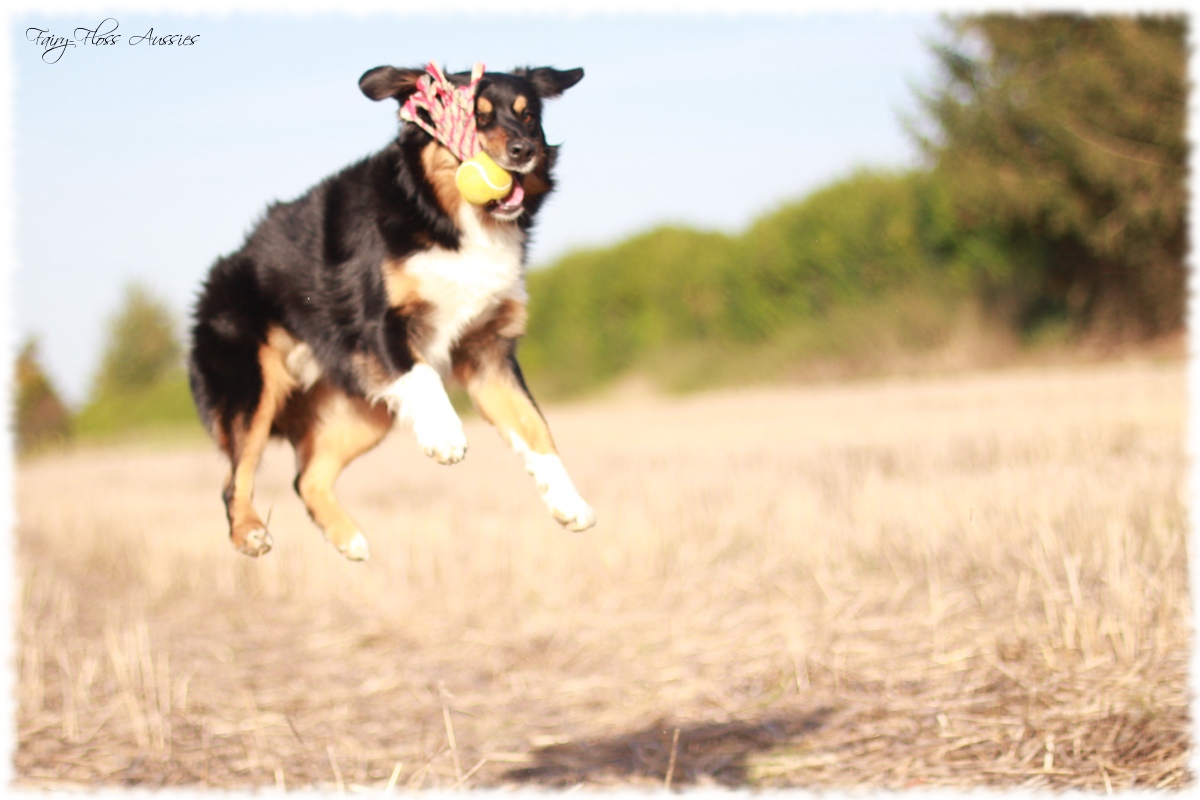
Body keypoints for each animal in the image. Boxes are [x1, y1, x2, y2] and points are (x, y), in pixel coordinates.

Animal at [187, 64, 595, 563]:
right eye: (472, 117)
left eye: (529, 115)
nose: (524, 150)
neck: (445, 215)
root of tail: (218, 274)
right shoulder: (374, 324)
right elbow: (423, 373)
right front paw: (444, 435)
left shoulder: (488, 351)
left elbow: (535, 426)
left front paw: (568, 502)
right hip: (254, 385)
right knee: (235, 478)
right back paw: (249, 532)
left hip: (363, 411)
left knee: (306, 478)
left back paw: (349, 539)